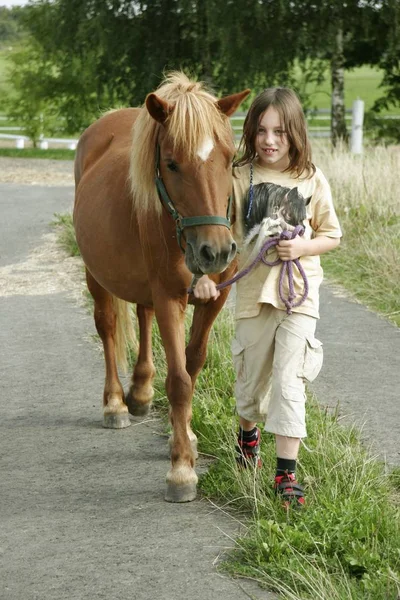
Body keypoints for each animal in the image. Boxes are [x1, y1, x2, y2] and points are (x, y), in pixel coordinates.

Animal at [73, 71, 248, 502]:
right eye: (171, 163)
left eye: (229, 158)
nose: (215, 251)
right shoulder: (170, 297)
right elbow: (180, 380)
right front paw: (181, 468)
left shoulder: (215, 298)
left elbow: (193, 362)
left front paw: (183, 435)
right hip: (95, 275)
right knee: (108, 327)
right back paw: (116, 404)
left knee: (142, 314)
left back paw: (140, 392)